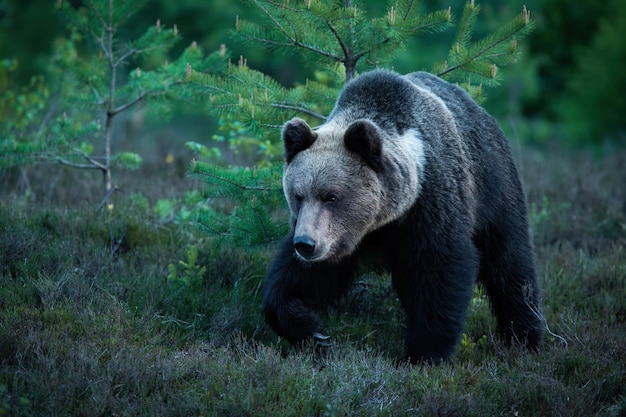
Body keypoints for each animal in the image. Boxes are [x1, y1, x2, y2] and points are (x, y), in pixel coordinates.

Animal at [258, 70, 540, 362]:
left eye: (331, 196)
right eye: (298, 195)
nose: (305, 244)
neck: (382, 220)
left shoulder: (431, 203)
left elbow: (440, 269)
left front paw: (425, 353)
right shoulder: (338, 237)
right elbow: (302, 278)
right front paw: (311, 331)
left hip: (493, 186)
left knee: (509, 262)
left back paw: (522, 336)